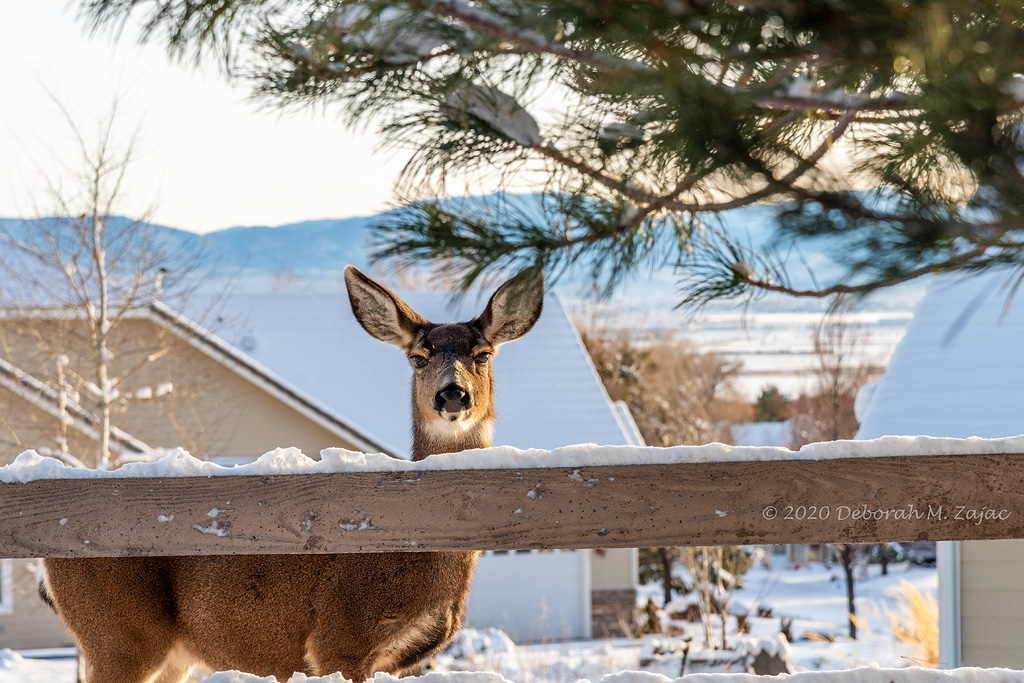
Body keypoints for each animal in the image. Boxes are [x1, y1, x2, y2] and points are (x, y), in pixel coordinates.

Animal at [41, 264, 544, 683]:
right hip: (118, 635)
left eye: (483, 354)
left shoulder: (400, 661)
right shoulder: (340, 637)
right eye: (418, 357)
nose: (452, 394)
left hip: (167, 655)